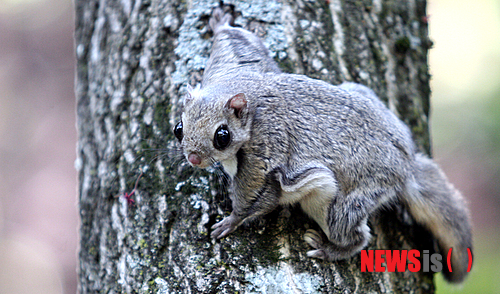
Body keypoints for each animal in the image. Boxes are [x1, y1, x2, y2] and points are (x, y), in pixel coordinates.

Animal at [173, 6, 472, 282]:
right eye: (179, 128)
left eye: (222, 136)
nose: (193, 159)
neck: (244, 95)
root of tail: (406, 163)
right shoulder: (236, 62)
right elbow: (237, 40)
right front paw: (220, 23)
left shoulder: (264, 151)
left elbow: (256, 196)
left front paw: (232, 220)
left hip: (343, 203)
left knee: (355, 236)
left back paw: (329, 249)